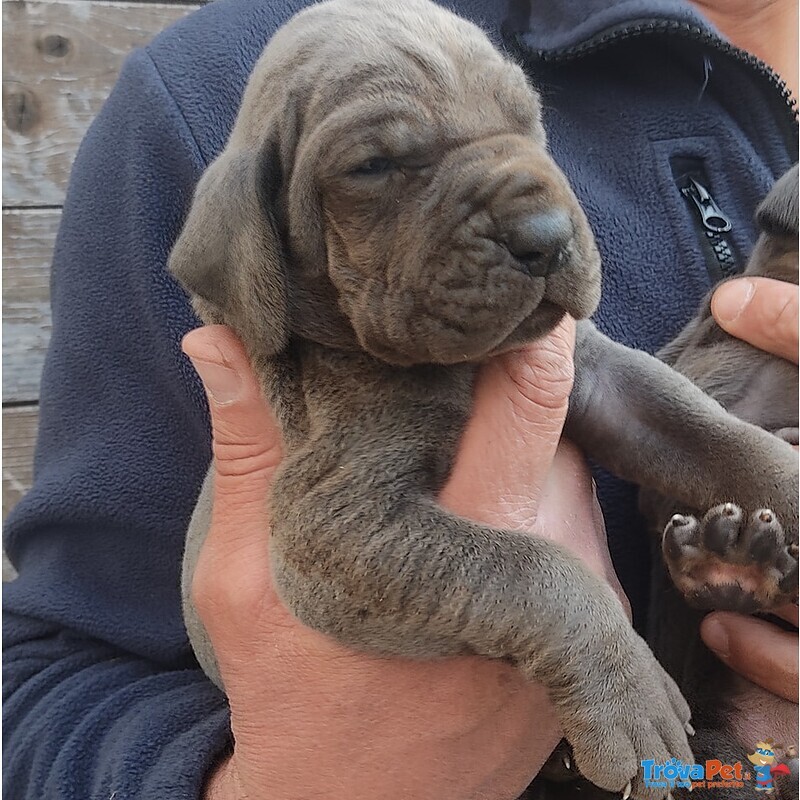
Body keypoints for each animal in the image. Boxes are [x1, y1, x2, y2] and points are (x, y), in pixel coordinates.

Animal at [167, 3, 792, 796]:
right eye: (372, 167)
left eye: (528, 121)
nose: (546, 237)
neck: (456, 365)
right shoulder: (335, 529)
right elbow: (534, 572)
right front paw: (628, 693)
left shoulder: (605, 378)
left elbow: (715, 435)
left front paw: (788, 478)